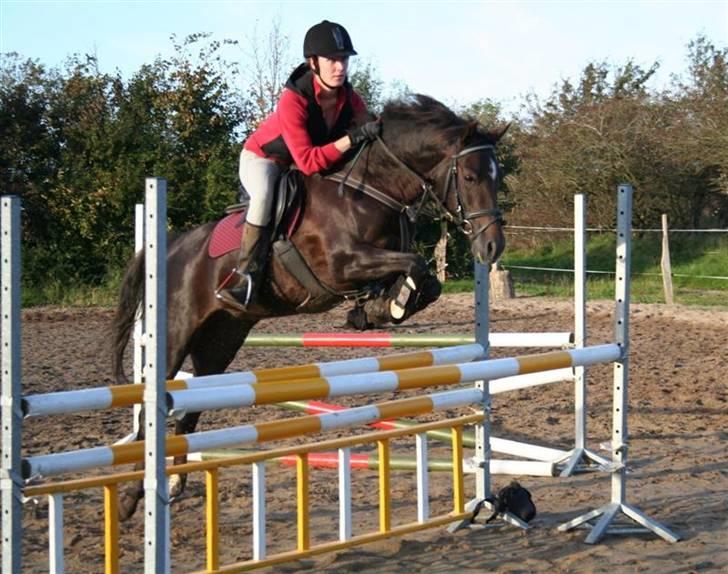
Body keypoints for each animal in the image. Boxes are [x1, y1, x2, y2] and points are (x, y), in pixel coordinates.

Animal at [111, 94, 507, 519]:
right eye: (470, 178)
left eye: (497, 177)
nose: (492, 247)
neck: (372, 189)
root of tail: (169, 247)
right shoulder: (341, 265)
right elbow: (414, 264)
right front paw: (389, 305)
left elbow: (425, 280)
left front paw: (381, 308)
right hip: (175, 334)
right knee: (149, 413)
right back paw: (131, 498)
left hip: (221, 339)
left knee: (190, 410)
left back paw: (174, 483)